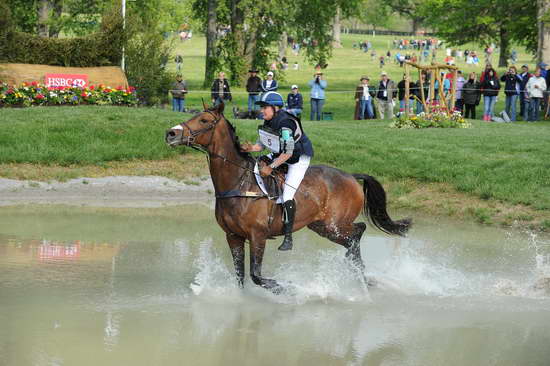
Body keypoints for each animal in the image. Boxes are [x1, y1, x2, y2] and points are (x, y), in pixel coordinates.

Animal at [166, 103, 412, 292]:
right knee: (354, 236)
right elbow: (240, 276)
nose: (171, 133)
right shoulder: (233, 236)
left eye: (204, 120)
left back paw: (356, 270)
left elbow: (256, 275)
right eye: (194, 115)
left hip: (333, 225)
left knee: (357, 232)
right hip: (321, 226)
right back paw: (359, 273)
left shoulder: (258, 236)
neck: (238, 182)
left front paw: (287, 288)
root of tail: (351, 176)